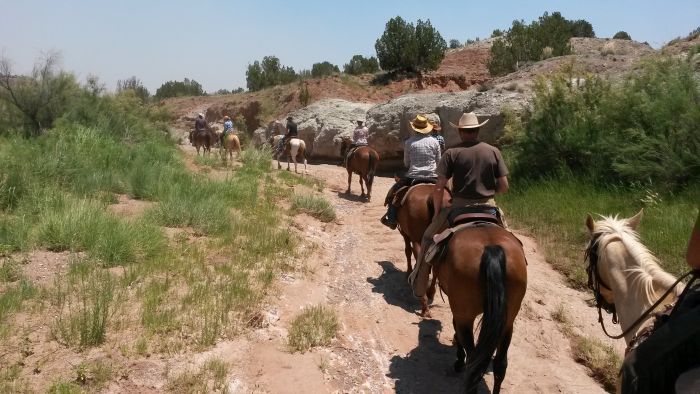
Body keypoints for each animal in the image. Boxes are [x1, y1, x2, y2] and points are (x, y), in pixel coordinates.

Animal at [396, 182, 452, 318]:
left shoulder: (405, 234)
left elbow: (407, 251)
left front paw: (408, 272)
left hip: (418, 240)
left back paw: (424, 306)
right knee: (435, 266)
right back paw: (430, 292)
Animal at [410, 222, 524, 390]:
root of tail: (492, 248)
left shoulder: (458, 311)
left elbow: (455, 326)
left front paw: (458, 359)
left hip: (466, 317)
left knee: (473, 364)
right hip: (508, 322)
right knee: (500, 365)